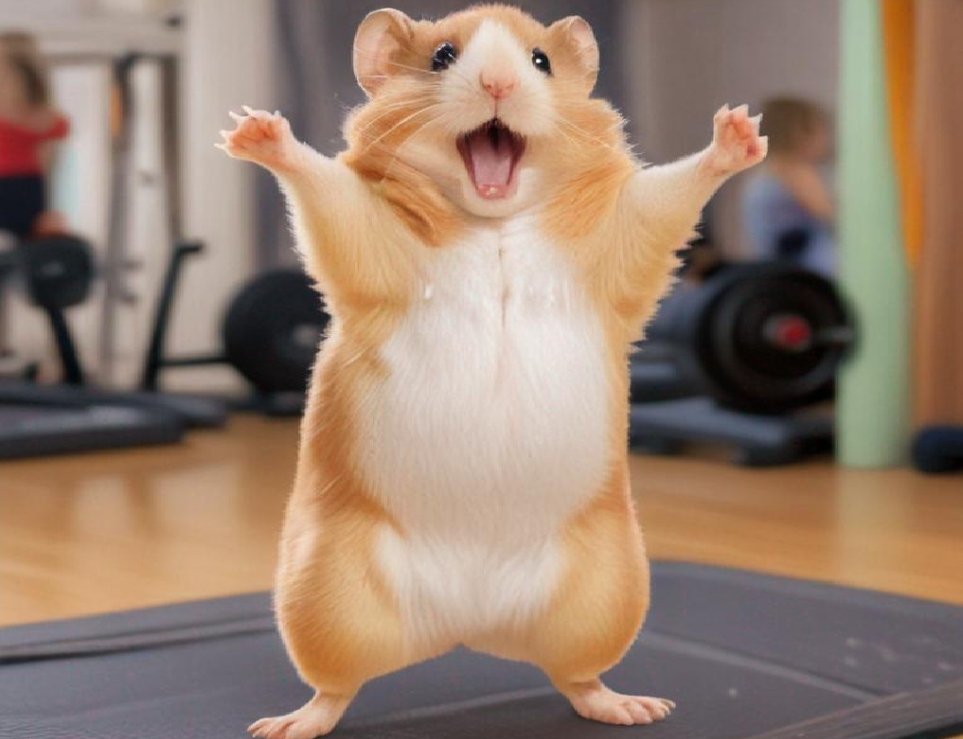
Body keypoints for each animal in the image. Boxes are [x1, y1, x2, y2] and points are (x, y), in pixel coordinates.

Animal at [219, 5, 765, 737]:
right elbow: (330, 193)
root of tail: (467, 624)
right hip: (324, 595)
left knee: (577, 674)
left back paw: (635, 708)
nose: (500, 83)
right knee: (335, 687)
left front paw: (740, 129)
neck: (494, 220)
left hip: (607, 591)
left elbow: (665, 196)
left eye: (540, 62)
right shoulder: (373, 237)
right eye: (443, 55)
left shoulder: (620, 239)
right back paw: (286, 724)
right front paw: (251, 129)